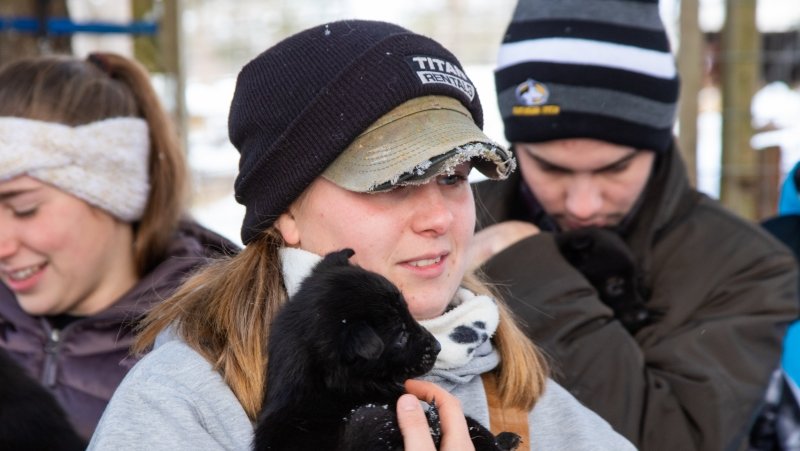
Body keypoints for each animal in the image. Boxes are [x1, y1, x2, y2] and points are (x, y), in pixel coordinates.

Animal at [253, 249, 520, 450]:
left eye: (409, 311)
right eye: (401, 336)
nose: (437, 346)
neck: (329, 384)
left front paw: (501, 440)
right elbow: (468, 422)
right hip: (369, 418)